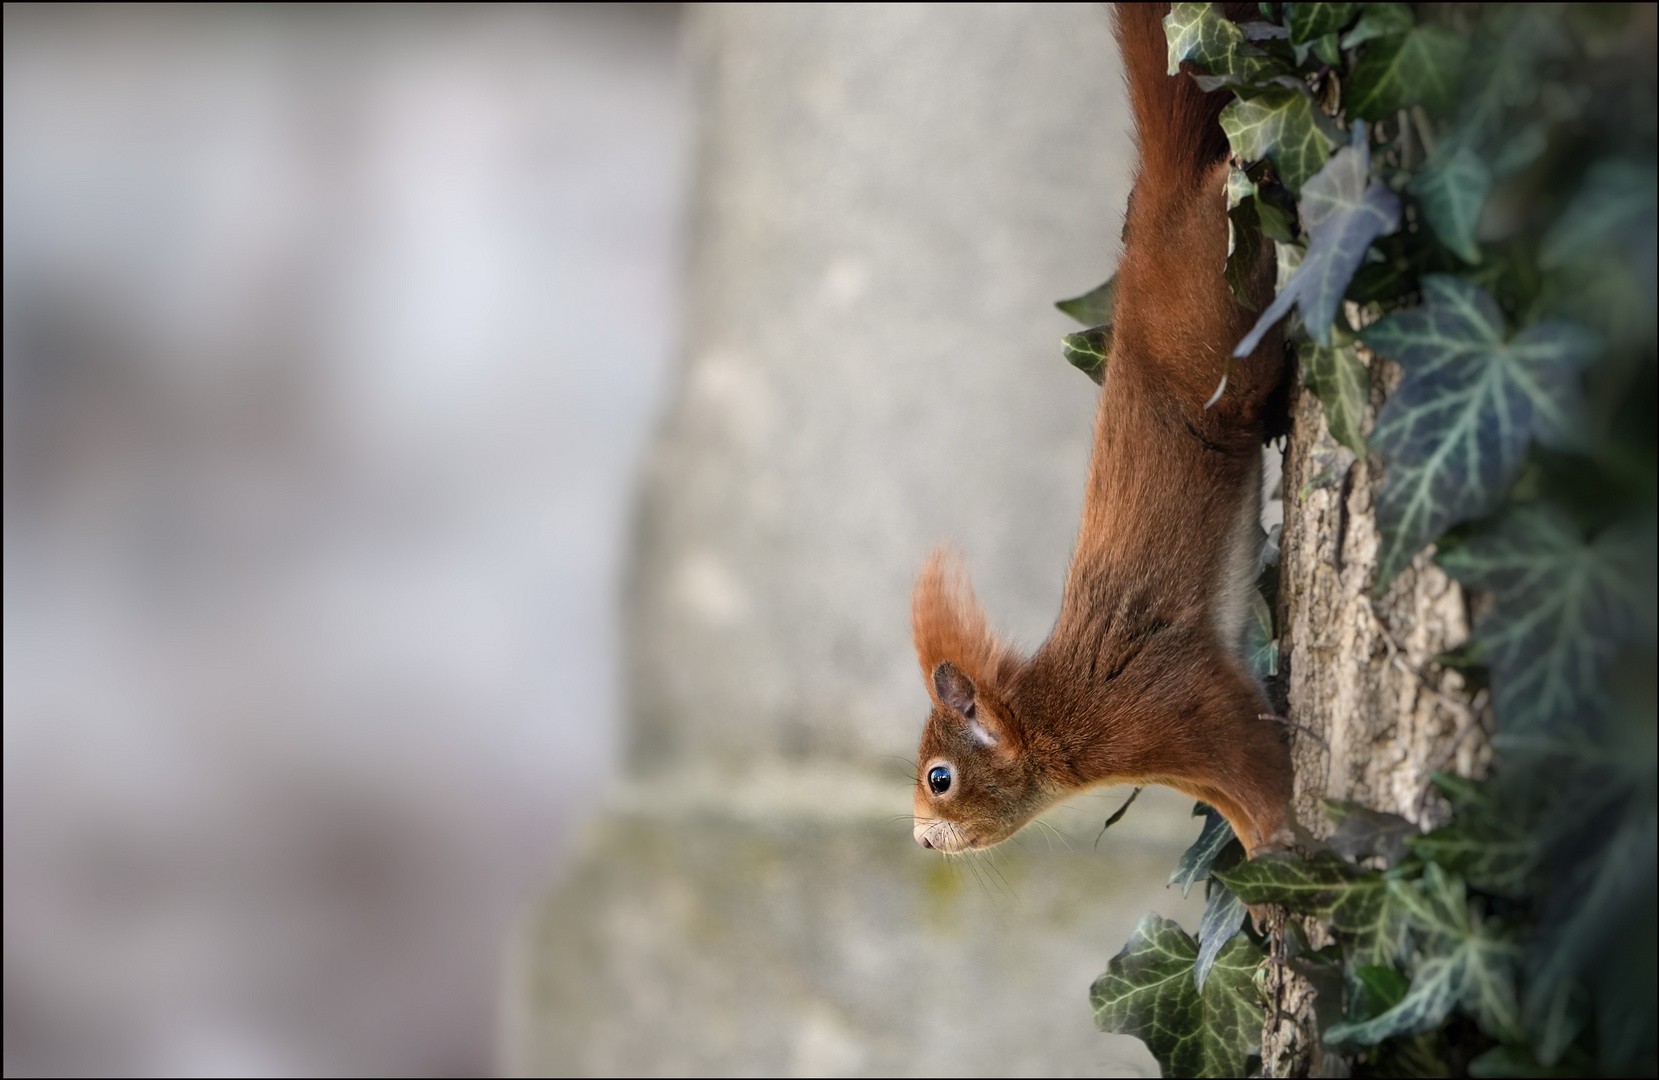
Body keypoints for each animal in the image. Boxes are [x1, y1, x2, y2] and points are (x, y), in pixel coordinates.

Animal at [909, 2, 1294, 862]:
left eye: (939, 778)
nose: (920, 842)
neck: (1056, 723)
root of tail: (1152, 213)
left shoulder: (1171, 707)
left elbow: (1257, 770)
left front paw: (1290, 847)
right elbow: (1238, 803)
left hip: (1218, 337)